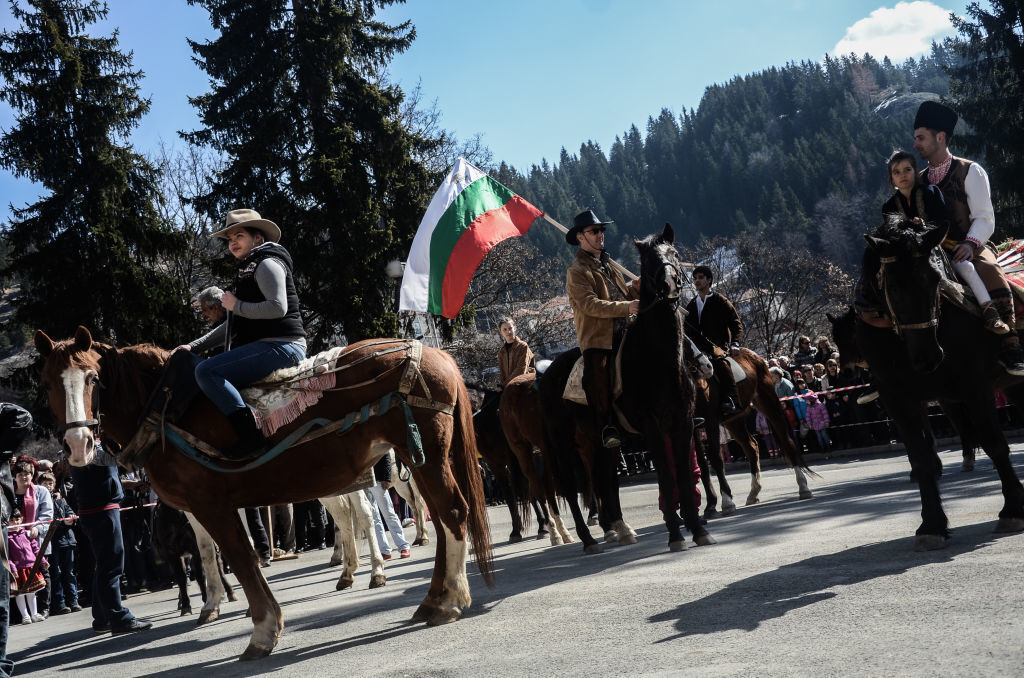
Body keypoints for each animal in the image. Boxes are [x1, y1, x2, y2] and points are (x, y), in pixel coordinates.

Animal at [34, 327, 493, 659]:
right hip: (418, 458)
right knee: (433, 518)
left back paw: (447, 600)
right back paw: (429, 596)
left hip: (422, 457)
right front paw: (218, 606)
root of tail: (433, 353)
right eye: (49, 385)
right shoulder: (201, 510)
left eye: (94, 378)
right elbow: (215, 557)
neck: (165, 410)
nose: (78, 445)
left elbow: (241, 558)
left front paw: (263, 629)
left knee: (450, 513)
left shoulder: (212, 504)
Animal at [692, 350, 811, 516]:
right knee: (751, 447)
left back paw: (803, 486)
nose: (706, 367)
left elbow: (715, 459)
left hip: (768, 402)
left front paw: (726, 502)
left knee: (785, 439)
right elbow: (701, 464)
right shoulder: (692, 427)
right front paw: (710, 504)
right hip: (733, 420)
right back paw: (754, 492)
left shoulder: (710, 422)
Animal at [847, 219, 1024, 553]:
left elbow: (995, 444)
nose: (929, 356)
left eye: (934, 280)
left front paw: (1013, 510)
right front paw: (931, 525)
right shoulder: (899, 400)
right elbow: (922, 459)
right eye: (893, 285)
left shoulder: (975, 388)